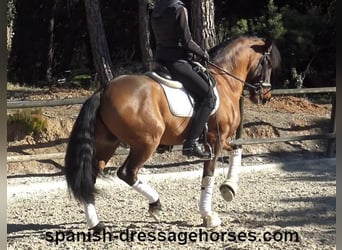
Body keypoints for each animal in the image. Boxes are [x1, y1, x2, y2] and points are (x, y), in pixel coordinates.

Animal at [65, 34, 280, 230]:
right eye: (268, 63)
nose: (266, 96)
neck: (225, 82)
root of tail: (104, 90)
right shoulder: (215, 140)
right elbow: (208, 176)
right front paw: (209, 216)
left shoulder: (222, 139)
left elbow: (236, 150)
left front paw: (229, 188)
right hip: (146, 143)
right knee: (127, 173)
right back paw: (155, 204)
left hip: (107, 144)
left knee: (90, 177)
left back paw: (96, 224)